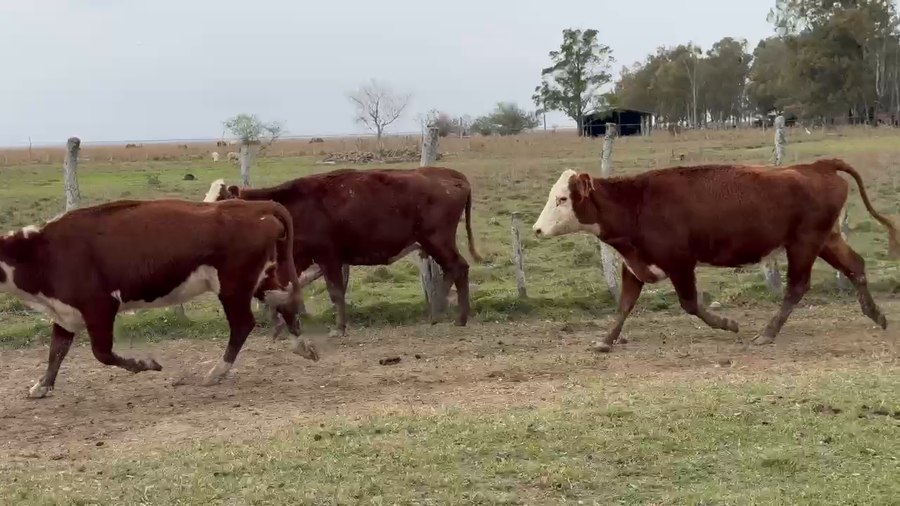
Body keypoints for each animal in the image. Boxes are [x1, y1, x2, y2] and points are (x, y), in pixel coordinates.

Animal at [0, 199, 319, 399]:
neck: (43, 252)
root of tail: (253, 206)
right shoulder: (65, 313)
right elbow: (57, 351)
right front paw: (42, 386)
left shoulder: (100, 306)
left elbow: (102, 353)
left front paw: (145, 364)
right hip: (258, 278)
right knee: (283, 301)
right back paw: (302, 346)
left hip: (233, 285)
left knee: (242, 324)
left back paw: (216, 372)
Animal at [203, 166, 482, 337]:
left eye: (220, 202)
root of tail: (451, 175)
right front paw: (280, 328)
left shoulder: (328, 257)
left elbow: (335, 292)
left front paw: (339, 327)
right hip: (434, 243)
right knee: (454, 270)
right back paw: (447, 315)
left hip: (437, 240)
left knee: (458, 268)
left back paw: (450, 315)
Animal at [532, 159, 900, 352]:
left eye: (562, 199)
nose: (536, 230)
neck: (637, 204)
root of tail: (817, 166)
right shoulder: (634, 265)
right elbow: (624, 305)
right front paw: (606, 340)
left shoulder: (681, 262)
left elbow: (691, 304)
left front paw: (728, 324)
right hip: (826, 240)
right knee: (855, 266)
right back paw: (875, 314)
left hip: (804, 244)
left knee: (797, 287)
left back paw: (768, 333)